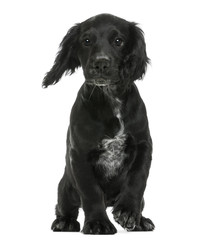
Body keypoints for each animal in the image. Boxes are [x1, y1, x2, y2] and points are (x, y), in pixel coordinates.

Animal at [43, 13, 154, 234]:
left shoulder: (143, 145)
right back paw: (64, 221)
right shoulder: (79, 154)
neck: (110, 97)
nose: (100, 63)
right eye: (86, 41)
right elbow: (91, 192)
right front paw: (98, 223)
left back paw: (141, 219)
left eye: (118, 41)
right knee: (65, 206)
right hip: (65, 186)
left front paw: (129, 212)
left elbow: (137, 180)